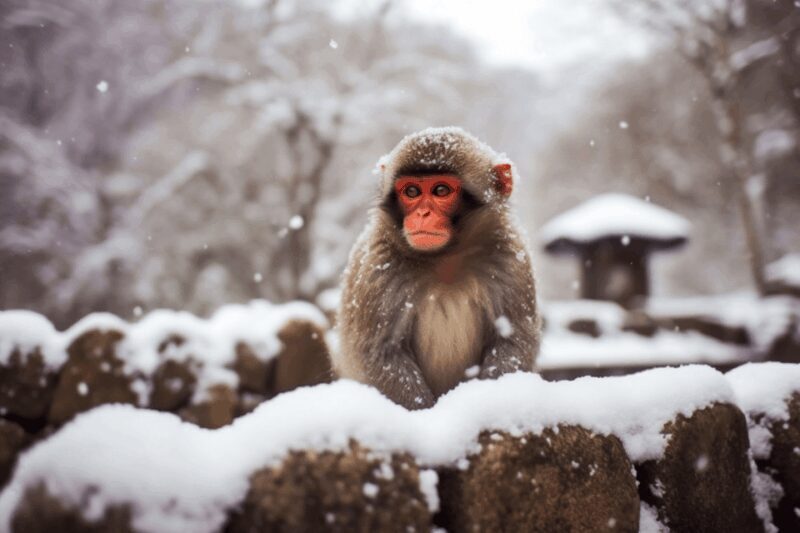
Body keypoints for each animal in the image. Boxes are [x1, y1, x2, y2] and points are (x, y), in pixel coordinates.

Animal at [333, 127, 541, 410]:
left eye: (441, 190)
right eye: (411, 192)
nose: (422, 214)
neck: (444, 259)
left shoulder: (510, 259)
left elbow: (512, 340)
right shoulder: (378, 267)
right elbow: (379, 352)